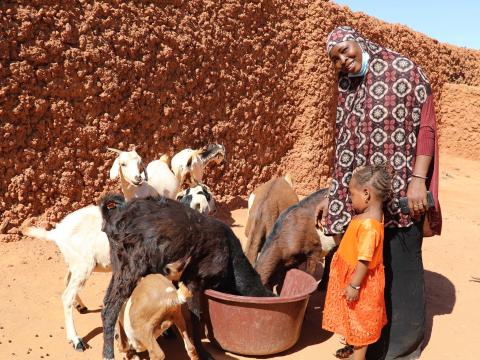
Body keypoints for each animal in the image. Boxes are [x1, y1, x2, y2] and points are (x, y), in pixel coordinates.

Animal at [100, 194, 274, 360]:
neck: (230, 256)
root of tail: (113, 216)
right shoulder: (194, 281)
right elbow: (197, 317)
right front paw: (203, 353)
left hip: (119, 267)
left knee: (107, 302)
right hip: (131, 268)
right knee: (110, 309)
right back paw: (108, 353)